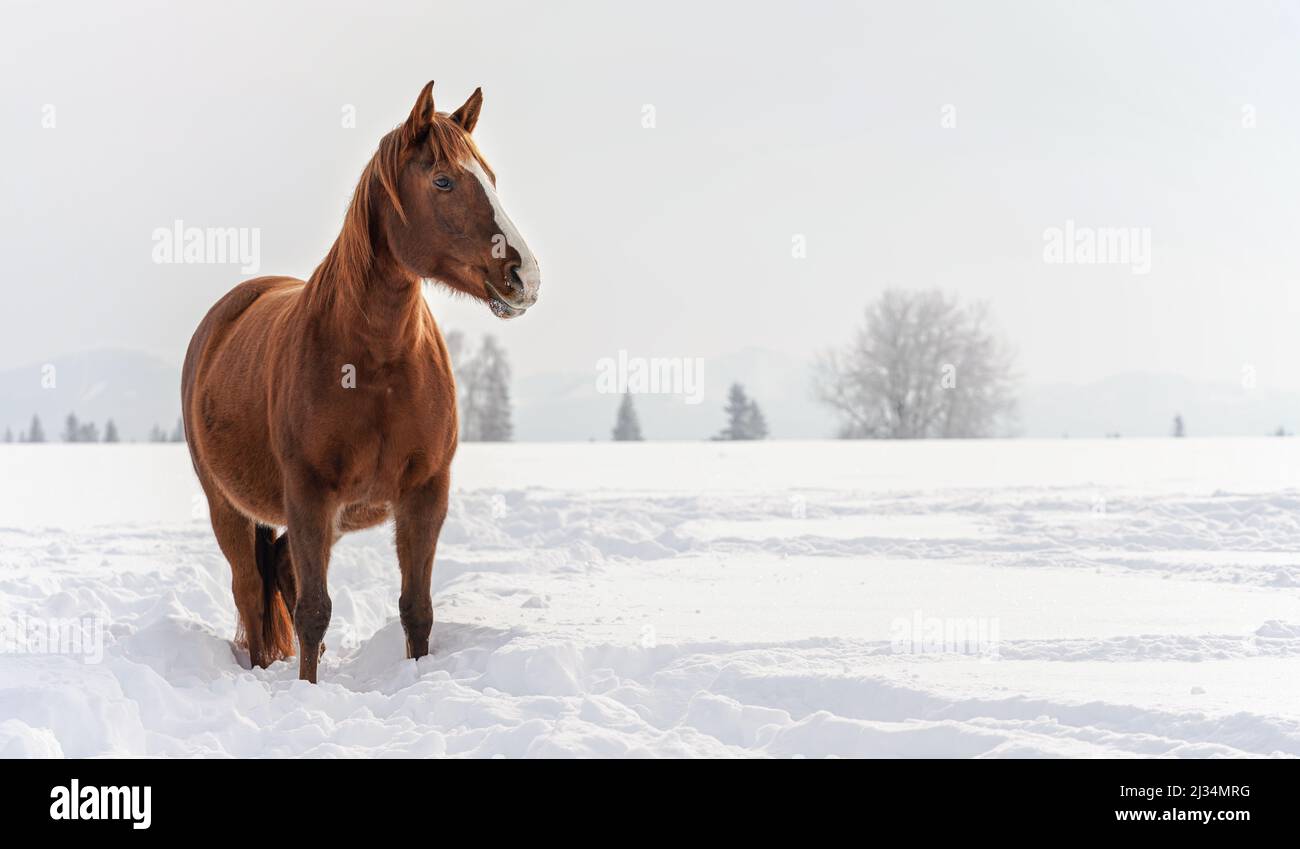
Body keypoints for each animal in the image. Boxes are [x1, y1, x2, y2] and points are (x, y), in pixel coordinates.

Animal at [181, 81, 540, 682]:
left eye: (490, 177)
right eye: (443, 180)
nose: (525, 276)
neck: (375, 366)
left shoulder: (425, 493)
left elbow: (417, 609)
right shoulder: (309, 494)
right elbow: (312, 611)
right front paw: (307, 690)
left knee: (280, 567)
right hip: (228, 507)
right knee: (252, 592)